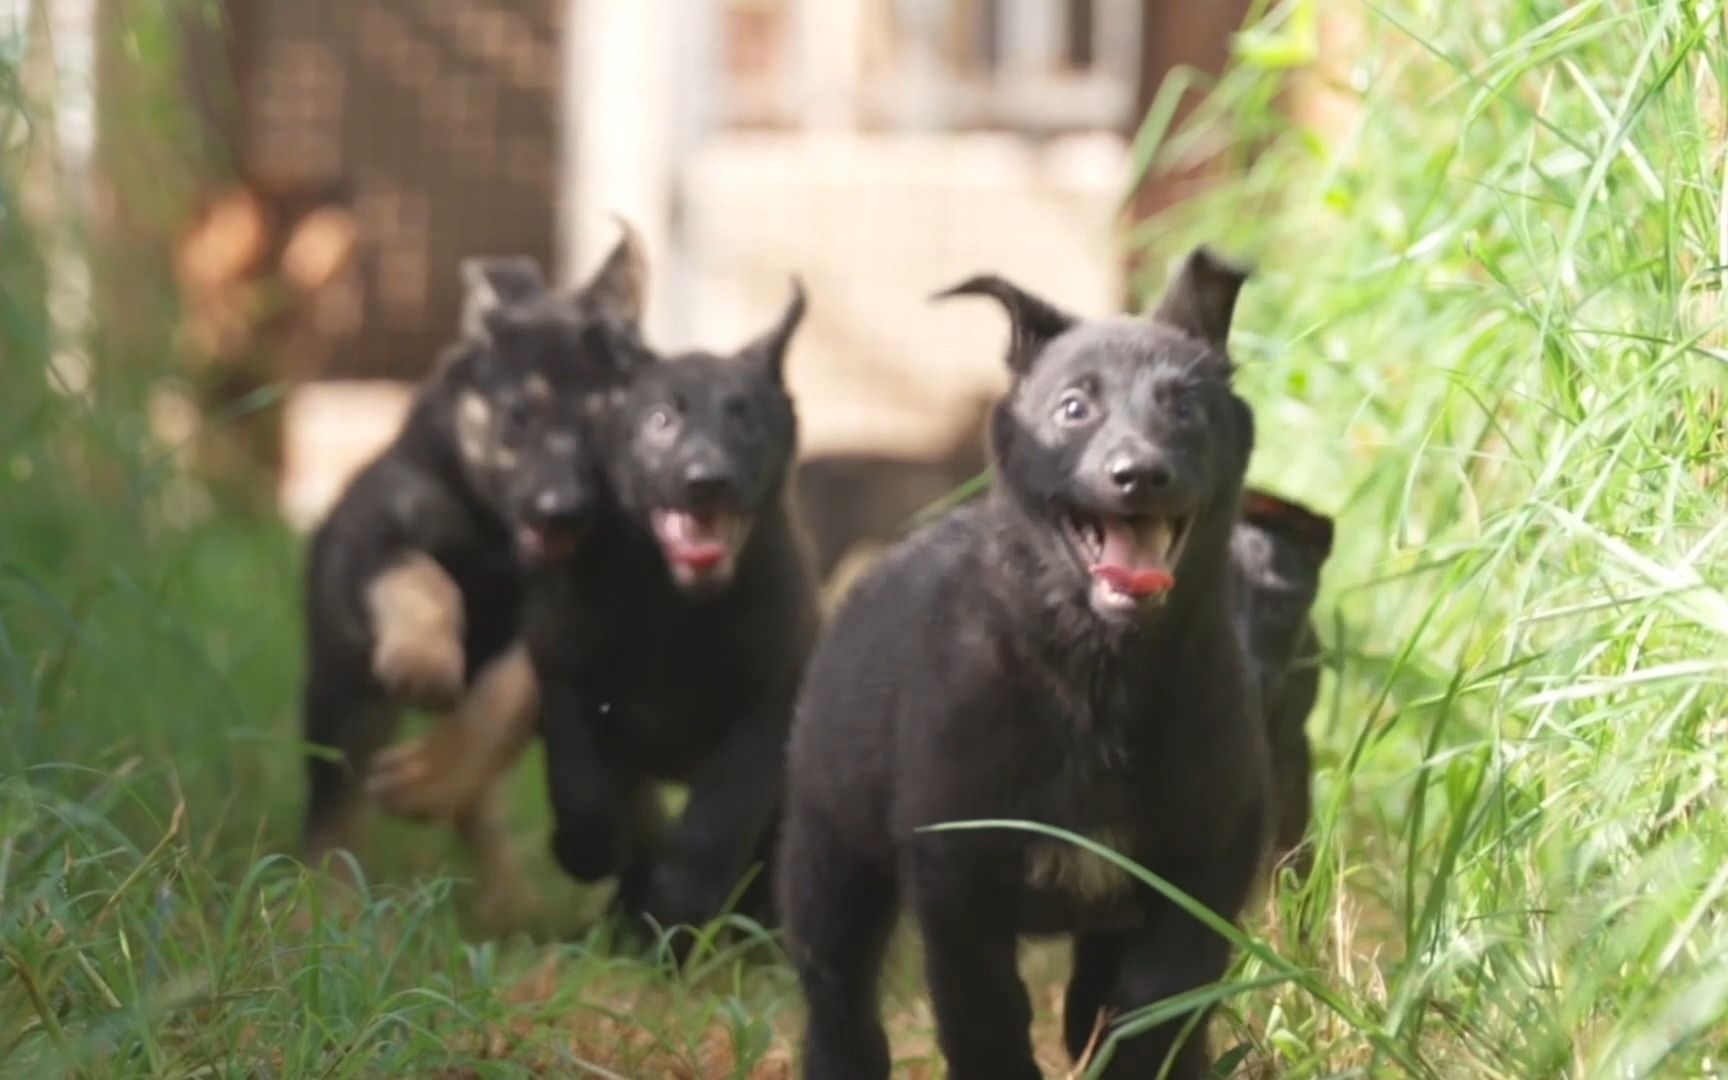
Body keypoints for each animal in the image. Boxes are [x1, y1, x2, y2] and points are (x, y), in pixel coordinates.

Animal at [300, 233, 646, 898]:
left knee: (478, 805)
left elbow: (514, 684)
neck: (499, 542)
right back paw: (323, 899)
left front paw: (427, 779)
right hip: (342, 695)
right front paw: (423, 660)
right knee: (336, 806)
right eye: (519, 417)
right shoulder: (372, 543)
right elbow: (424, 579)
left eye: (613, 425)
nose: (564, 512)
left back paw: (503, 895)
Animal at [521, 281, 819, 940]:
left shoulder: (766, 704)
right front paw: (590, 854)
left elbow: (714, 826)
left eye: (745, 419)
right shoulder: (567, 673)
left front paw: (674, 917)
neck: (676, 610)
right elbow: (583, 792)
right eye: (661, 419)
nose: (706, 479)